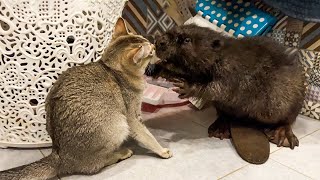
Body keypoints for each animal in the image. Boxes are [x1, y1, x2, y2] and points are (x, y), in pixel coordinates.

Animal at [146, 25, 304, 149]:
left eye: (186, 40)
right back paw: (219, 129)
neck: (221, 54)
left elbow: (220, 88)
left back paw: (282, 136)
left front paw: (186, 86)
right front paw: (154, 68)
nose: (159, 42)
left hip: (294, 99)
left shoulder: (232, 70)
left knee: (287, 121)